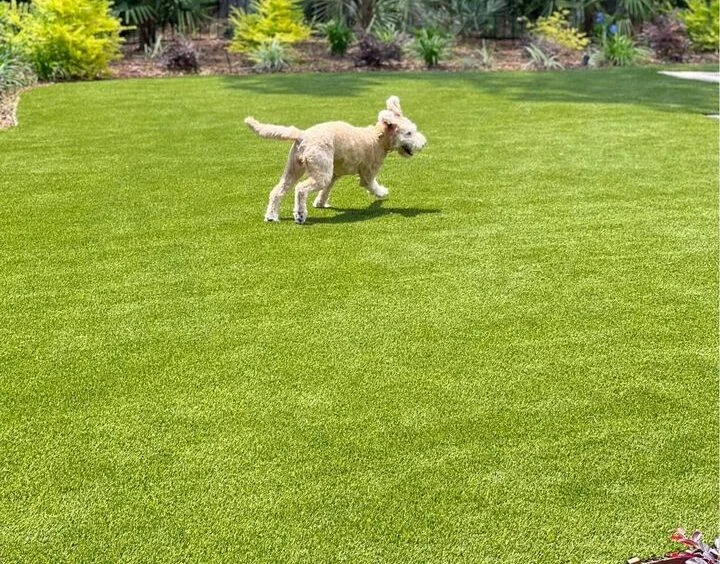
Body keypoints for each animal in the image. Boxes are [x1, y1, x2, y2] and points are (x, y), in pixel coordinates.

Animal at [246, 94, 428, 223]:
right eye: (409, 133)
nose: (424, 143)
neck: (377, 137)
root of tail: (302, 135)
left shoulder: (334, 174)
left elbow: (326, 191)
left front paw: (320, 203)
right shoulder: (367, 173)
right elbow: (371, 185)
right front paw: (382, 193)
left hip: (295, 169)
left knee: (278, 191)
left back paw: (272, 216)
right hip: (319, 173)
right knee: (301, 189)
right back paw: (300, 214)